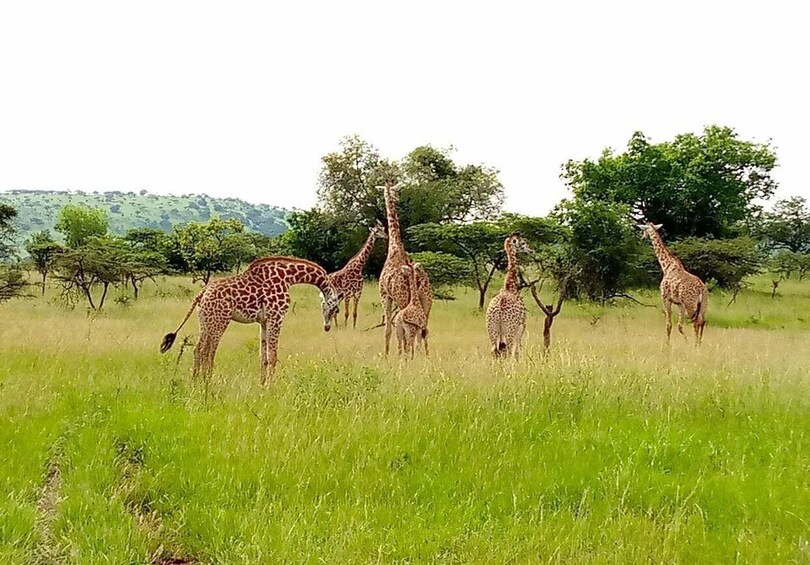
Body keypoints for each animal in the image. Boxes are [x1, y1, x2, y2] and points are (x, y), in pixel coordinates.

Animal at [159, 256, 341, 385]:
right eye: (336, 309)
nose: (327, 327)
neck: (289, 277)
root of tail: (202, 293)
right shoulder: (277, 316)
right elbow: (273, 356)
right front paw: (271, 387)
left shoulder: (264, 321)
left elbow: (263, 357)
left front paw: (262, 385)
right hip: (220, 320)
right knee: (208, 351)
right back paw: (207, 383)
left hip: (205, 321)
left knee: (198, 349)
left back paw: (195, 382)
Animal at [378, 181, 433, 356]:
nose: (397, 198)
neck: (394, 247)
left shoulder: (385, 295)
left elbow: (387, 329)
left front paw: (387, 355)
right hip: (427, 301)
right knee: (424, 330)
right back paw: (424, 356)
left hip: (402, 299)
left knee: (408, 332)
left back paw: (407, 354)